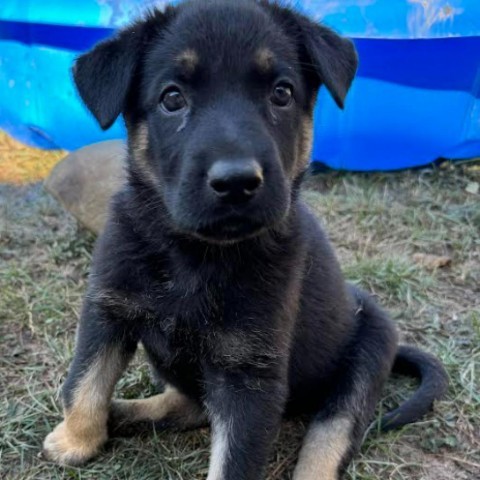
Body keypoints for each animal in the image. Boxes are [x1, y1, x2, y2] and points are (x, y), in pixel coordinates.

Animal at [43, 1, 448, 478]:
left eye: (281, 93)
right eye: (172, 98)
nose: (236, 182)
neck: (194, 254)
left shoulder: (250, 377)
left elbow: (234, 460)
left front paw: (78, 436)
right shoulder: (108, 309)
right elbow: (85, 378)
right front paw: (76, 438)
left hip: (363, 364)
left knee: (328, 436)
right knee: (190, 403)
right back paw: (122, 413)